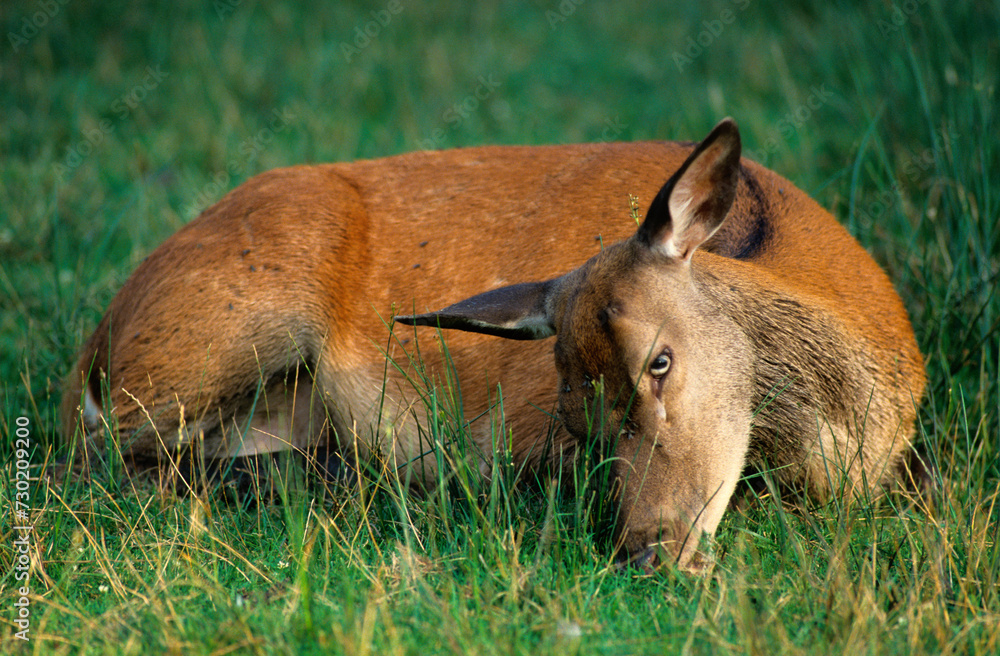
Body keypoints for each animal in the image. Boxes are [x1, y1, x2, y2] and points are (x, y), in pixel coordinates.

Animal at [64, 118, 926, 570]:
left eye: (661, 360)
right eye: (577, 420)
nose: (648, 546)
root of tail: (95, 352)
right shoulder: (522, 434)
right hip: (220, 335)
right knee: (106, 466)